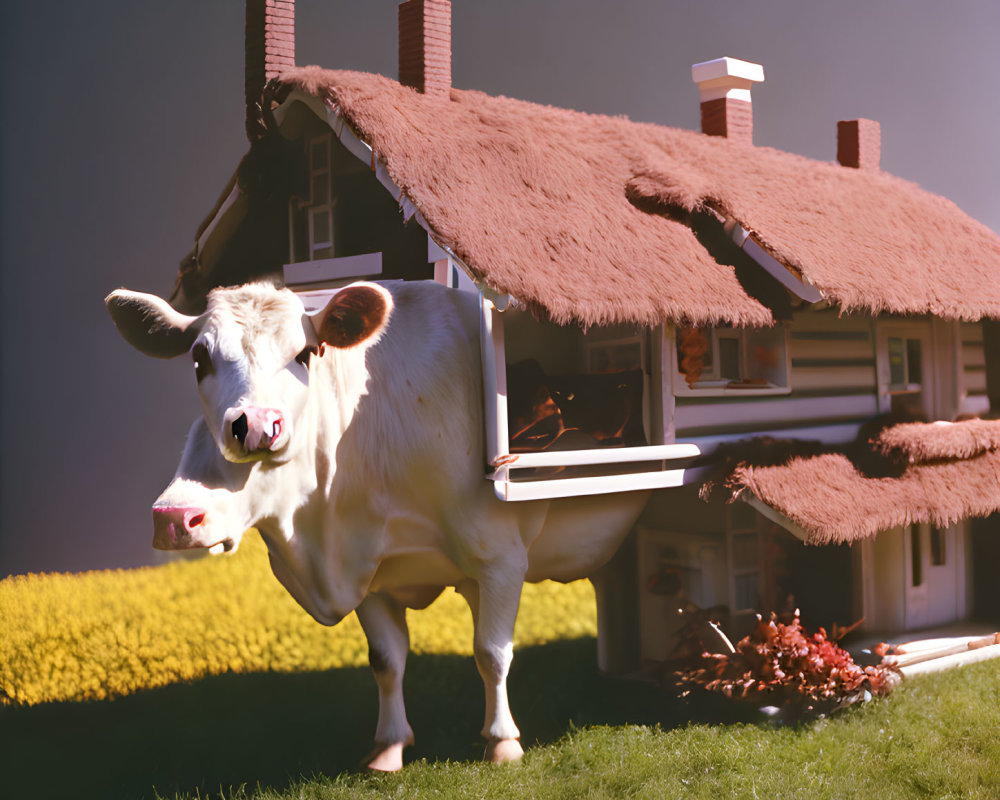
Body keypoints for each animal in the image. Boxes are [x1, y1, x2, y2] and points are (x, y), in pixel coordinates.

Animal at [107, 280, 648, 768]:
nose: (253, 425)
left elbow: (492, 653)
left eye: (304, 354)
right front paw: (389, 746)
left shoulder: (498, 557)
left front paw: (502, 742)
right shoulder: (370, 568)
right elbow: (386, 662)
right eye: (200, 359)